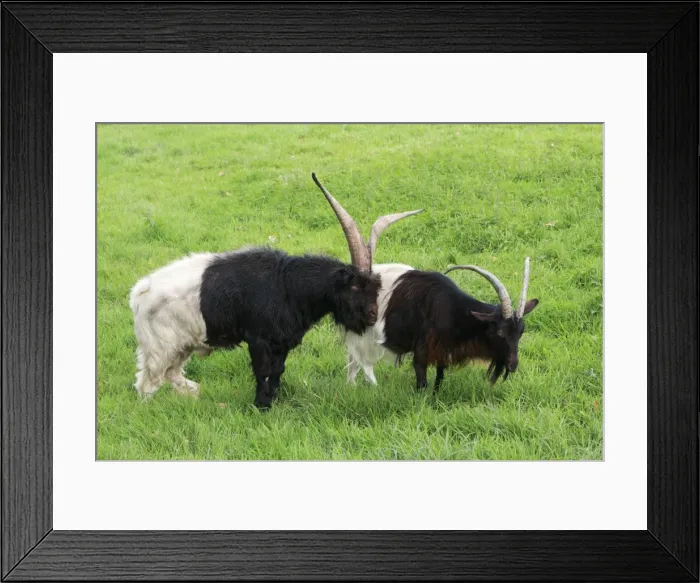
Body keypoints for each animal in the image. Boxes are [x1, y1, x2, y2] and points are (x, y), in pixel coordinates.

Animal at [129, 174, 417, 409]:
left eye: (377, 287)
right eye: (355, 285)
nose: (371, 316)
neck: (289, 285)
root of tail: (138, 294)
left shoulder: (281, 343)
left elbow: (277, 372)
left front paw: (273, 401)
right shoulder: (259, 340)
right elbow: (263, 372)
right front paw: (261, 407)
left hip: (181, 346)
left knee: (170, 374)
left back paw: (193, 393)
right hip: (159, 348)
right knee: (147, 383)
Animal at [381, 259, 539, 391]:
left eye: (521, 332)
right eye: (500, 333)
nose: (513, 365)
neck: (452, 311)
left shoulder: (442, 352)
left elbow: (439, 378)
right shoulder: (421, 353)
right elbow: (422, 383)